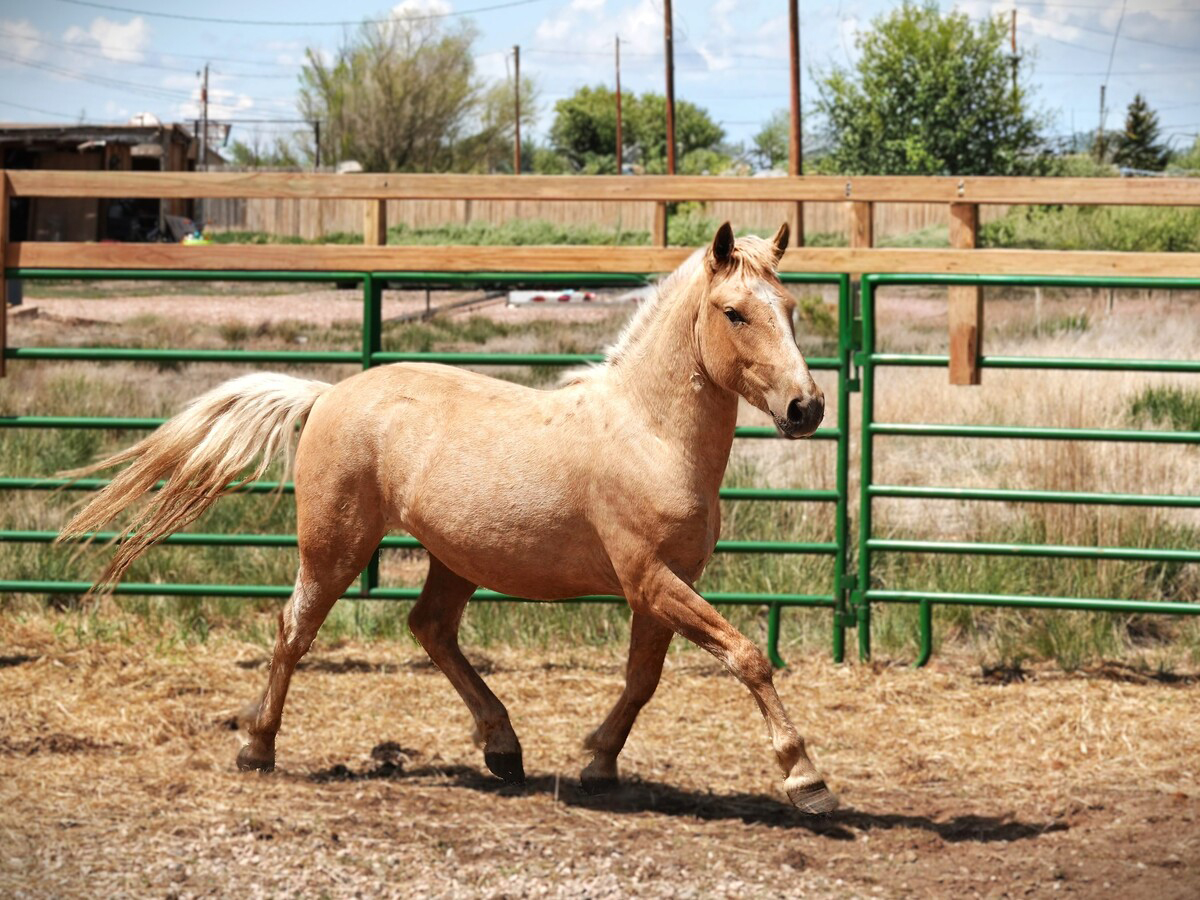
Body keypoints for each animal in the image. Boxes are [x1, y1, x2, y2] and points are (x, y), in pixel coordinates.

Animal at [57, 222, 837, 815]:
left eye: (790, 306)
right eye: (735, 312)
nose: (806, 408)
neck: (649, 434)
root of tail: (329, 394)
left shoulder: (661, 586)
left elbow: (643, 681)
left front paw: (597, 765)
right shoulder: (650, 579)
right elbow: (746, 654)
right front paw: (806, 778)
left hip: (455, 558)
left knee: (429, 628)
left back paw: (503, 749)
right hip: (335, 547)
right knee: (293, 630)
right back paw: (258, 747)